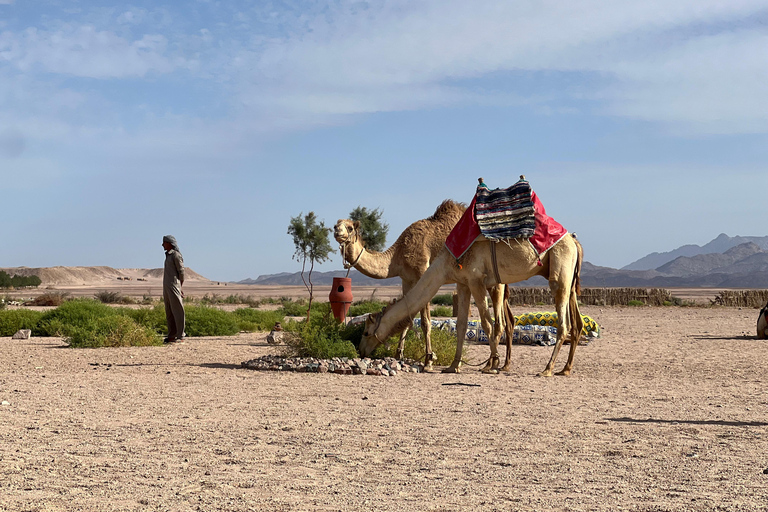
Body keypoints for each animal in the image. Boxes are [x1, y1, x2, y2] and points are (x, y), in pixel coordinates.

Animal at [332, 200, 508, 368]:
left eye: (349, 228)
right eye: (336, 224)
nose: (336, 231)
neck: (396, 257)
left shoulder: (422, 273)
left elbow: (425, 322)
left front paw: (428, 360)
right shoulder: (406, 280)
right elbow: (408, 320)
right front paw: (399, 354)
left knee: (499, 319)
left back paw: (492, 363)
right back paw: (503, 364)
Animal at [360, 233, 584, 376]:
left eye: (366, 332)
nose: (361, 351)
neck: (445, 263)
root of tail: (575, 241)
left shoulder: (476, 280)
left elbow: (486, 324)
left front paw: (492, 364)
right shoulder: (463, 283)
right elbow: (461, 325)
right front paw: (453, 366)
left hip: (559, 273)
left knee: (562, 322)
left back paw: (547, 369)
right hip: (568, 279)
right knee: (574, 322)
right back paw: (564, 369)